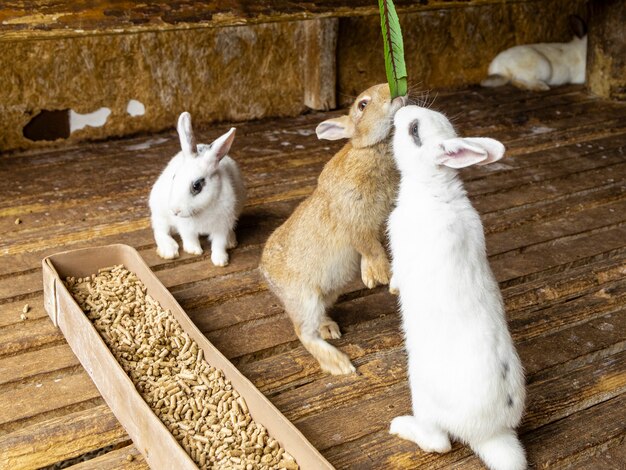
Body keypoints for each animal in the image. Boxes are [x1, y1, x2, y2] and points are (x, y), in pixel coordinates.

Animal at [149, 110, 246, 264]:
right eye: (174, 177)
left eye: (197, 186)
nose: (175, 210)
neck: (201, 210)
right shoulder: (185, 227)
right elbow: (189, 238)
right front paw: (194, 251)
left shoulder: (222, 227)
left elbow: (219, 244)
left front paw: (220, 261)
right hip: (159, 211)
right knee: (160, 230)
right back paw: (168, 250)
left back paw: (231, 241)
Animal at [258, 81, 404, 374]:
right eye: (362, 104)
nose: (394, 92)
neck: (370, 149)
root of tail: (264, 272)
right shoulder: (354, 220)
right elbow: (370, 247)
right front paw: (382, 275)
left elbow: (374, 248)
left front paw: (372, 277)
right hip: (305, 298)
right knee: (303, 332)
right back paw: (340, 364)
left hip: (326, 294)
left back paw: (329, 329)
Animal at [388, 105, 524, 470]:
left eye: (415, 130)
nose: (401, 107)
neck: (434, 188)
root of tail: (490, 433)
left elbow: (396, 272)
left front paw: (392, 288)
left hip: (422, 394)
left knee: (439, 443)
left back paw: (401, 426)